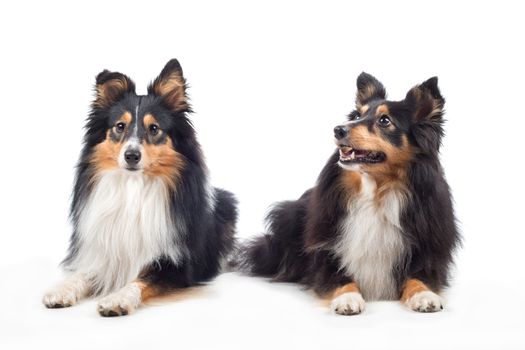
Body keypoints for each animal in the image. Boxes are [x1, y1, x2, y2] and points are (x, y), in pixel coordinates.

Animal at [42, 58, 237, 316]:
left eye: (154, 128)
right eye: (120, 126)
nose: (131, 156)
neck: (134, 186)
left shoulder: (177, 264)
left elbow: (143, 278)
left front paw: (118, 299)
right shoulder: (104, 252)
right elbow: (85, 272)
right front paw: (61, 290)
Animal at [241, 73, 458, 314]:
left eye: (385, 120)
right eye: (357, 115)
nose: (338, 129)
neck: (376, 194)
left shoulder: (427, 251)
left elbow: (420, 277)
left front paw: (424, 295)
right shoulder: (326, 251)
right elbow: (338, 277)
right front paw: (348, 298)